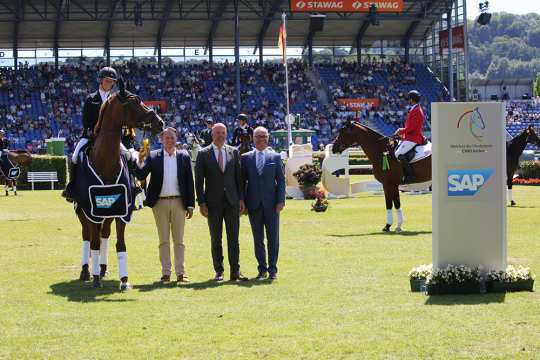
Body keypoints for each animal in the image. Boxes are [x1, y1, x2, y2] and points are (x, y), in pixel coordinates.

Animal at [75, 81, 162, 290]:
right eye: (136, 101)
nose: (160, 122)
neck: (106, 161)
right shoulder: (92, 210)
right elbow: (94, 243)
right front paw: (95, 279)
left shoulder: (122, 210)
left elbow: (120, 244)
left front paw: (124, 280)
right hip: (82, 211)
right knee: (87, 237)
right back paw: (86, 271)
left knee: (105, 234)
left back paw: (103, 269)